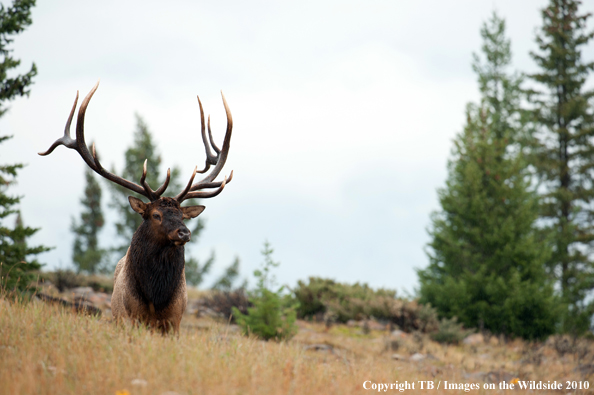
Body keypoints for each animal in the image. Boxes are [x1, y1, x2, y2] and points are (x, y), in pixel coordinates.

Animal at [38, 82, 234, 336]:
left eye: (183, 216)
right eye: (156, 215)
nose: (184, 233)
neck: (155, 299)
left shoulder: (175, 321)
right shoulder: (129, 317)